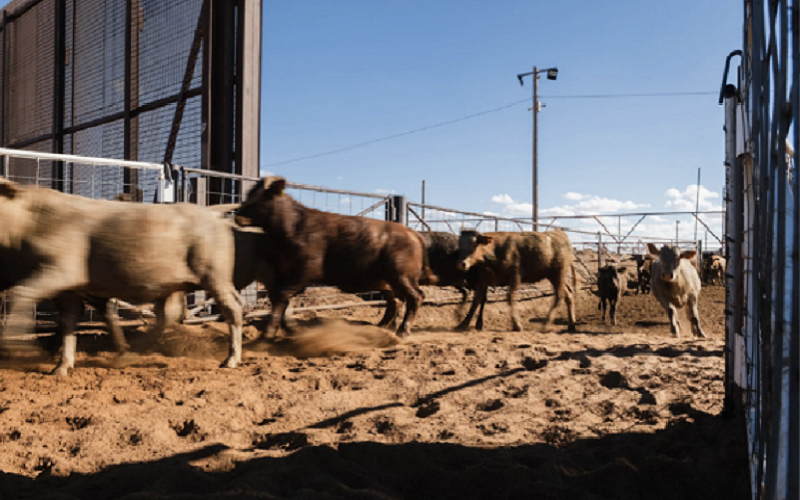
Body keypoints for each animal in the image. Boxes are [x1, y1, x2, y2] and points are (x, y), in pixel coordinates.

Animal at [0, 178, 244, 374]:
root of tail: (211, 213)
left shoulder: (60, 270)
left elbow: (21, 294)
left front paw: (18, 346)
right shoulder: (67, 288)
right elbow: (69, 319)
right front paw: (62, 366)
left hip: (215, 276)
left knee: (232, 308)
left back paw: (231, 359)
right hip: (183, 284)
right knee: (169, 315)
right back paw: (134, 350)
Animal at [234, 178, 434, 338]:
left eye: (259, 197)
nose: (237, 214)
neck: (294, 226)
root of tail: (413, 233)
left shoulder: (305, 271)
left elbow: (282, 295)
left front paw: (269, 332)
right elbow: (281, 298)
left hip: (401, 276)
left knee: (415, 296)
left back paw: (403, 331)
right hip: (385, 281)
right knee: (396, 301)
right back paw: (380, 327)